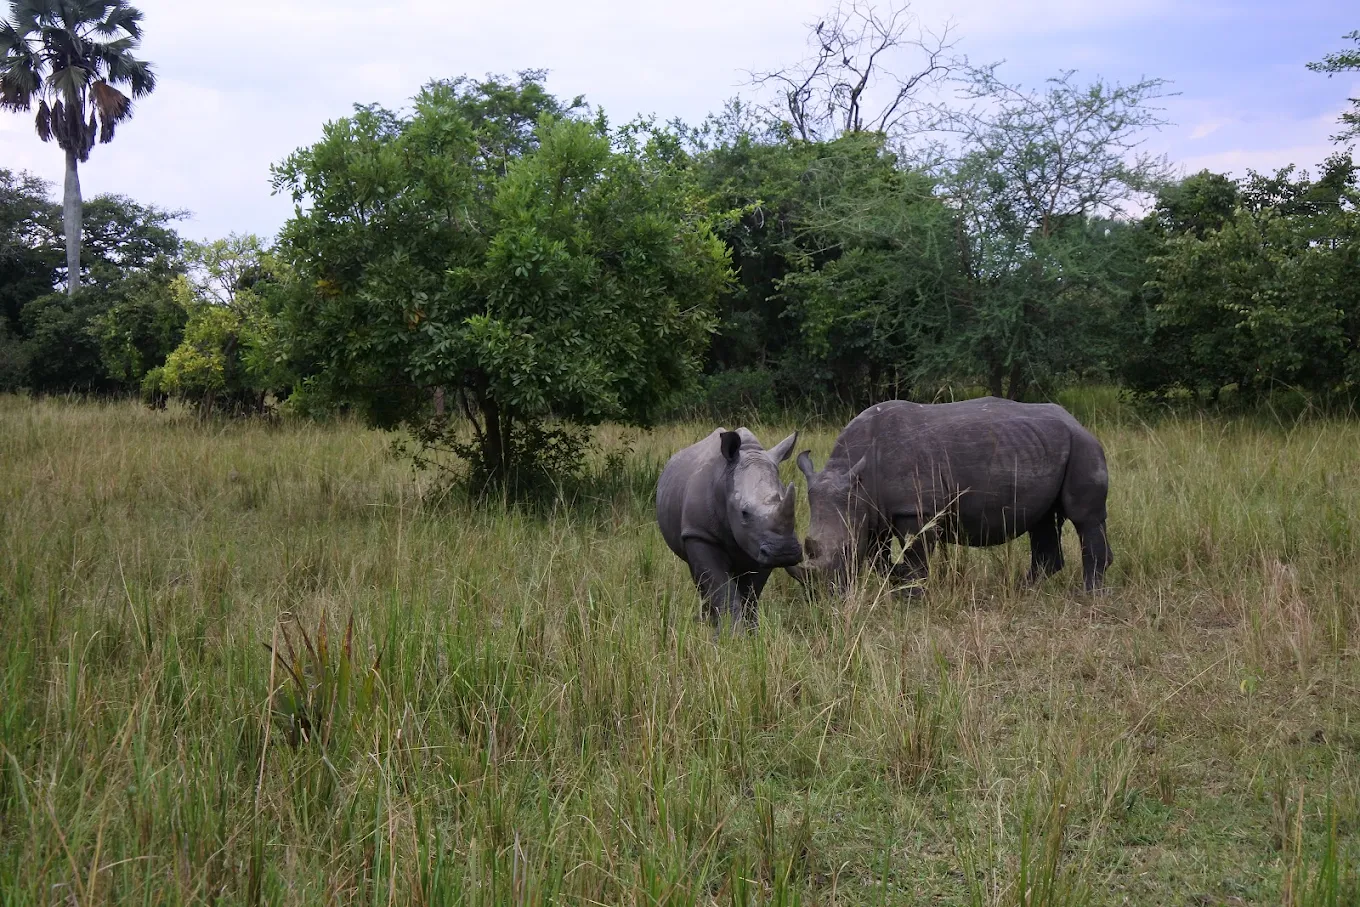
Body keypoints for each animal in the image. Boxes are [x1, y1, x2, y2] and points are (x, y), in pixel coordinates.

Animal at [656, 428, 802, 627]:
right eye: (744, 512)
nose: (784, 552)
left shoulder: (761, 548)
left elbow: (751, 594)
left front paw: (752, 631)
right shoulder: (700, 534)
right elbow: (722, 591)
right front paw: (728, 632)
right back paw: (706, 622)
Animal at [797, 397, 1112, 593]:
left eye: (846, 550)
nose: (820, 594)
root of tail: (1077, 422)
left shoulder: (915, 508)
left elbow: (916, 557)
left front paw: (911, 595)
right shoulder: (873, 509)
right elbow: (878, 557)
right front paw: (897, 581)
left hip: (1083, 446)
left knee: (1085, 519)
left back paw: (1089, 596)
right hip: (1045, 447)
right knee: (1042, 519)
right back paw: (1023, 590)